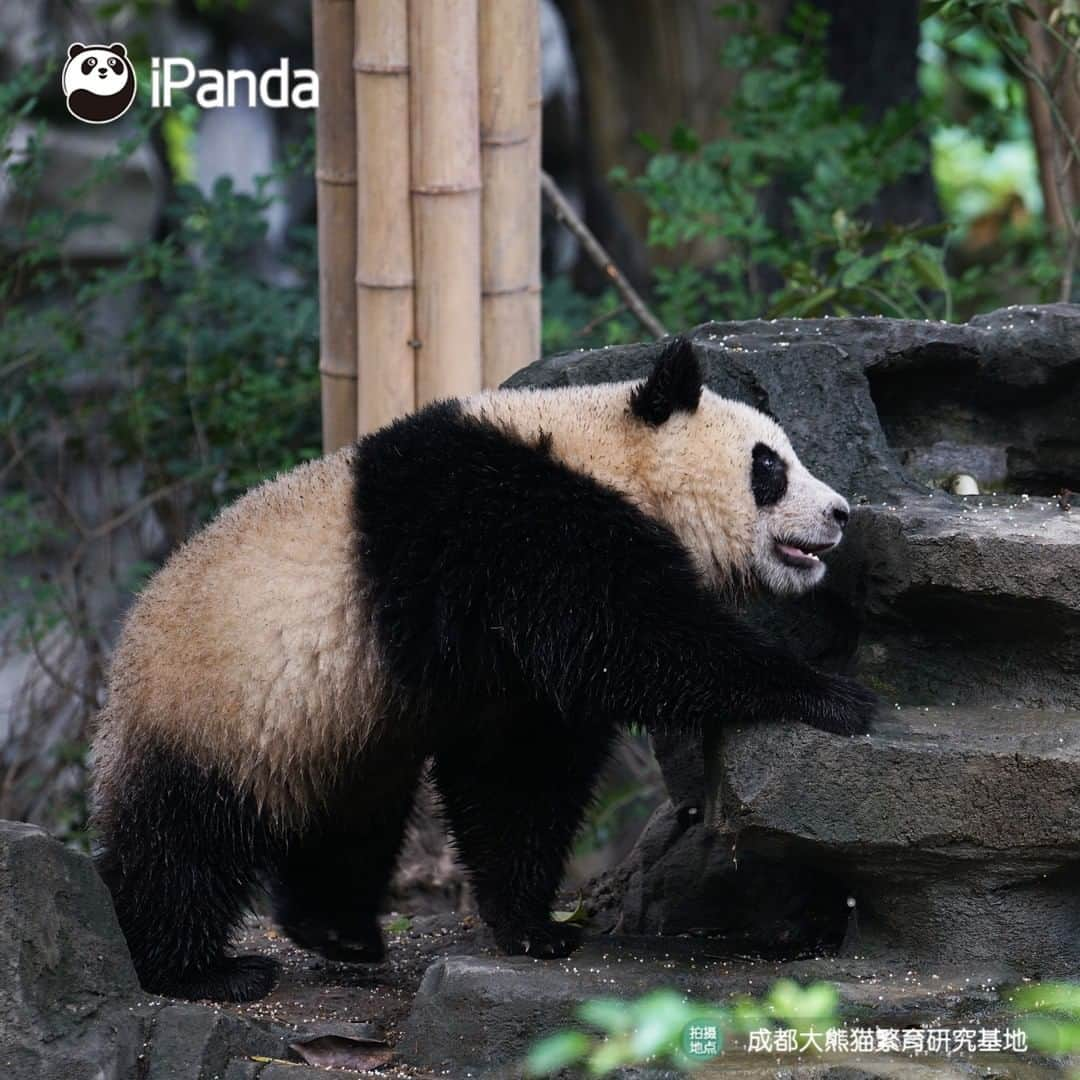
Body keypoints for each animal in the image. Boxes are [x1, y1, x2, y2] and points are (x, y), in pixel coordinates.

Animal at [88, 339, 872, 1002]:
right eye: (770, 466)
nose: (840, 512)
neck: (607, 456)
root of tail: (120, 663)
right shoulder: (516, 532)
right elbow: (642, 641)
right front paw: (830, 694)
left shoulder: (506, 661)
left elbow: (520, 771)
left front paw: (531, 925)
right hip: (215, 705)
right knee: (183, 842)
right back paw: (199, 970)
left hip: (336, 725)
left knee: (349, 818)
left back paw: (338, 931)